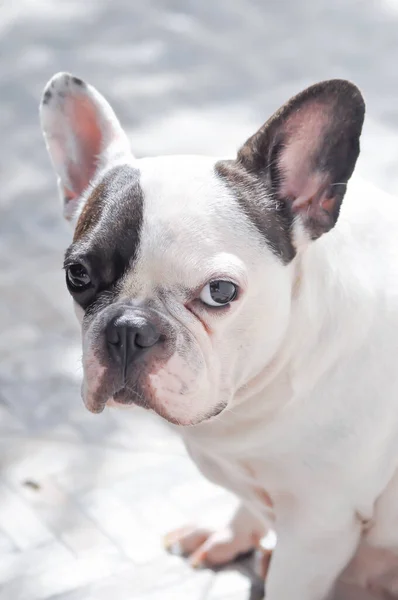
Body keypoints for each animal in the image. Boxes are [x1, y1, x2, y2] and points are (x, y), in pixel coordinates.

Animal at [39, 72, 398, 596]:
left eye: (221, 291)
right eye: (77, 274)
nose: (127, 329)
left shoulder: (318, 528)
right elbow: (246, 505)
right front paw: (229, 536)